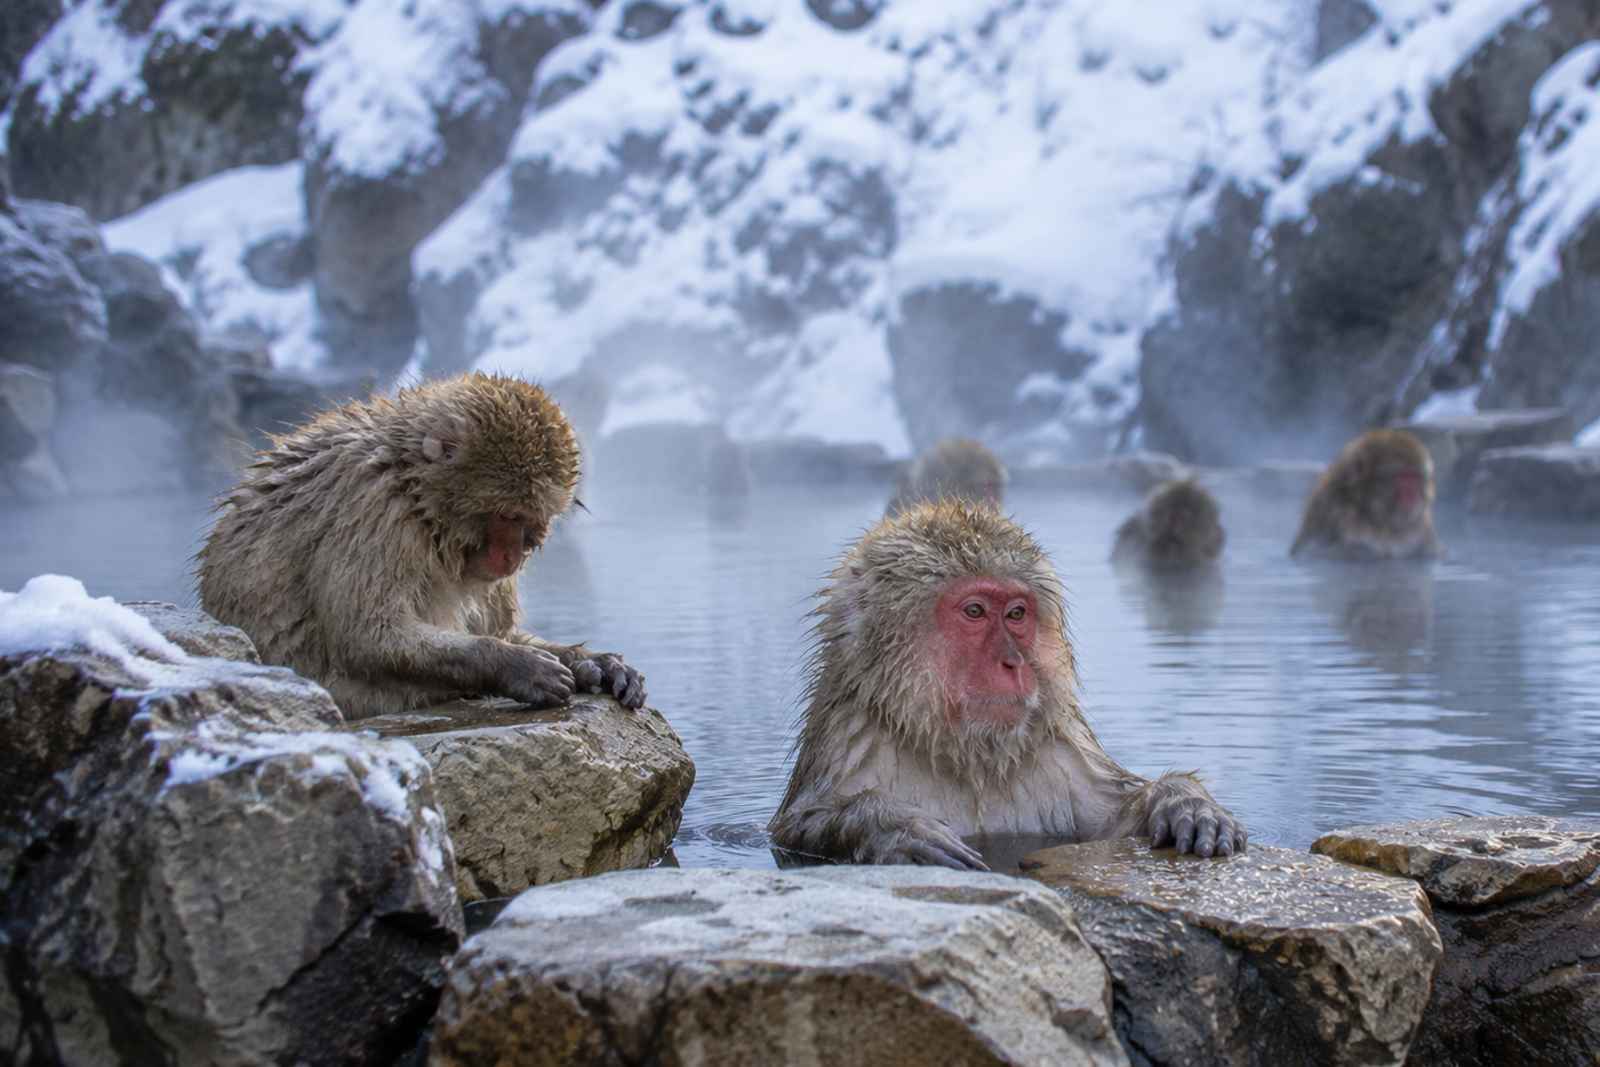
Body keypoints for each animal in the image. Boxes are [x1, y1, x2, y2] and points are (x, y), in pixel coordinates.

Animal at [197, 372, 646, 719]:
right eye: (507, 516)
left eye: (532, 519)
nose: (512, 556)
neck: (414, 489)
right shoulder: (371, 507)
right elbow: (367, 635)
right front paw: (516, 666)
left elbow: (497, 628)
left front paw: (596, 664)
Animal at [769, 499, 1246, 868]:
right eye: (975, 611)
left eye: (1016, 613)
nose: (1013, 663)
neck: (967, 758)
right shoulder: (852, 744)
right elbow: (798, 827)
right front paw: (896, 827)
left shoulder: (1060, 754)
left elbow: (1113, 820)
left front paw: (1184, 802)